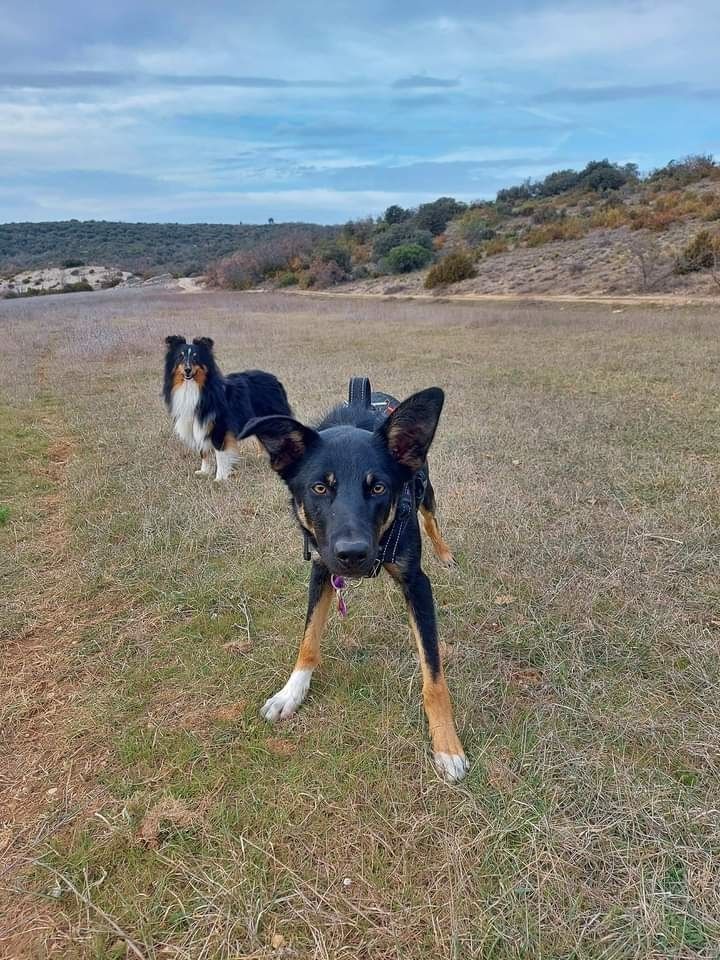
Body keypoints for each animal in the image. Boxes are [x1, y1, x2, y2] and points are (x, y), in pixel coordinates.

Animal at [165, 336, 292, 480]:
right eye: (180, 356)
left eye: (196, 357)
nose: (187, 370)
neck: (195, 387)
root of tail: (275, 379)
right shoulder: (197, 424)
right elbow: (203, 451)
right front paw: (204, 471)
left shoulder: (219, 427)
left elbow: (220, 453)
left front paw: (219, 478)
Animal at [242, 376, 466, 780]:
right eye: (319, 487)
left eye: (378, 487)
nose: (352, 555)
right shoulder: (321, 569)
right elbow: (308, 640)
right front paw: (290, 694)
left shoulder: (416, 583)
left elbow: (434, 677)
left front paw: (447, 745)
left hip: (426, 487)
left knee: (431, 518)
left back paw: (444, 553)